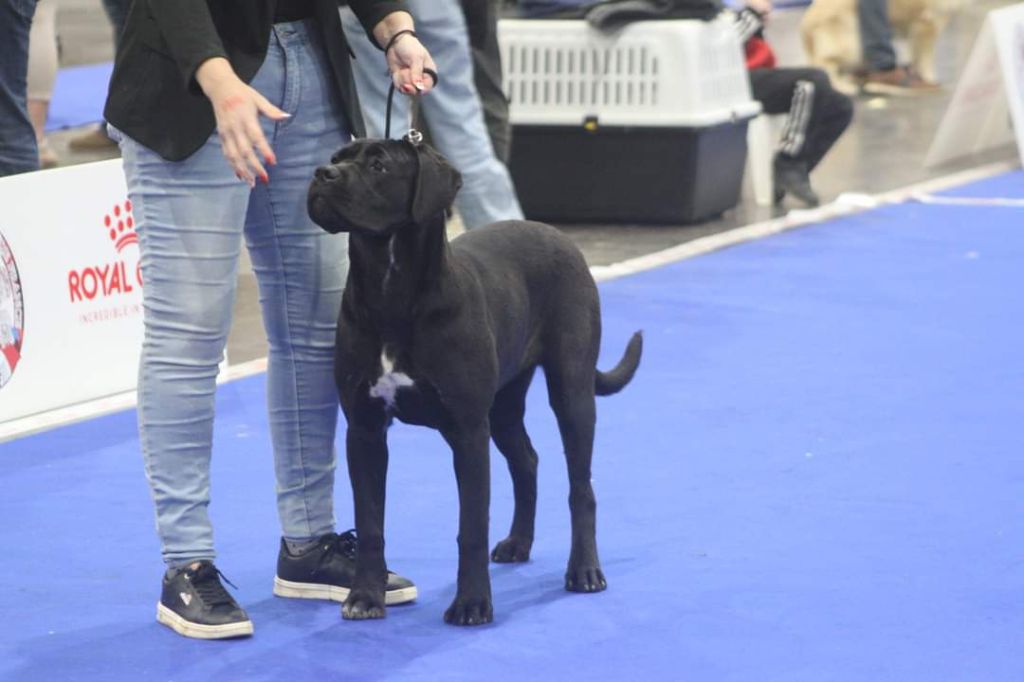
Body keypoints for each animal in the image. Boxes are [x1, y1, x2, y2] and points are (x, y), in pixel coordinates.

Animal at [305, 135, 638, 622]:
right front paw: (365, 596)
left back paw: (584, 571)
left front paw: (472, 603)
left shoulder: (466, 430)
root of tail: (557, 233)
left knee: (581, 487)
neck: (390, 288)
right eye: (336, 158)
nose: (321, 175)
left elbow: (472, 525)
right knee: (526, 461)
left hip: (571, 390)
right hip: (502, 406)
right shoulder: (364, 430)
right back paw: (518, 543)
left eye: (379, 165)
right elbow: (370, 524)